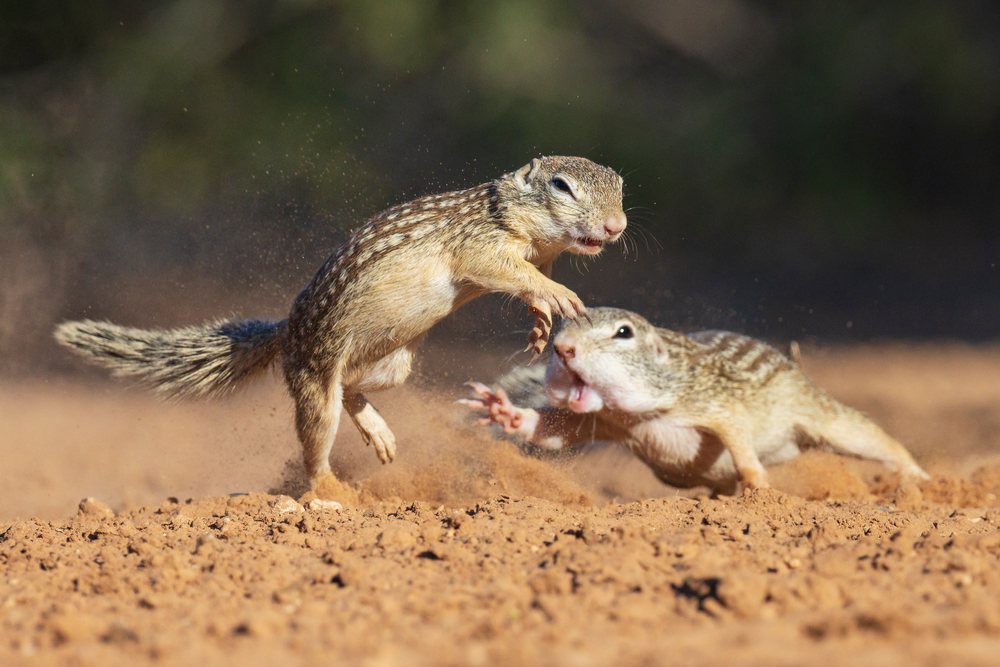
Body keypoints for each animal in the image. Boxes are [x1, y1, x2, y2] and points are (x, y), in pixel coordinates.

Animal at [55, 156, 627, 500]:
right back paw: (331, 492)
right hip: (315, 378)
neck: (507, 215)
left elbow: (529, 286)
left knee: (354, 389)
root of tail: (288, 331)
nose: (616, 226)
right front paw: (560, 298)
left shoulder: (532, 256)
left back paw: (380, 435)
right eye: (561, 186)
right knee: (319, 434)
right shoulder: (480, 247)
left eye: (621, 186)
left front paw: (541, 323)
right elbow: (510, 274)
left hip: (392, 365)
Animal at [461, 307, 929, 493]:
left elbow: (738, 439)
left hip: (818, 413)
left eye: (623, 333)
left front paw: (760, 485)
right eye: (562, 324)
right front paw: (505, 412)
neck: (640, 414)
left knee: (870, 436)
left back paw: (919, 478)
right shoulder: (603, 420)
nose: (563, 348)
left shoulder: (714, 402)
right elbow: (555, 430)